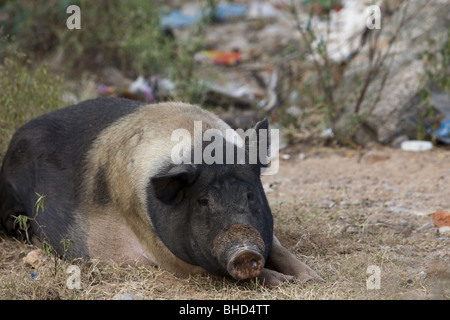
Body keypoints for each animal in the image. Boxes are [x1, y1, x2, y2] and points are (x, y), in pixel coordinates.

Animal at [0, 98, 324, 288]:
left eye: (250, 194)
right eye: (203, 201)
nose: (244, 252)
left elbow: (279, 247)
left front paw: (312, 278)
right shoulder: (161, 248)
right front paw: (287, 282)